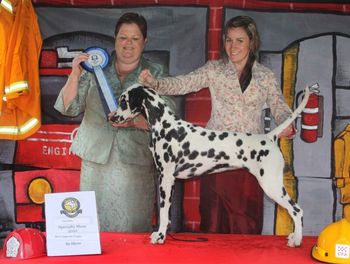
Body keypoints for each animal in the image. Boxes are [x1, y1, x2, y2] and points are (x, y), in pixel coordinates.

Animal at [110, 84, 310, 248]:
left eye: (123, 101)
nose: (112, 116)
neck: (165, 126)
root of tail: (270, 137)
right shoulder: (170, 180)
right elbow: (166, 212)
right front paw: (163, 233)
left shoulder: (165, 178)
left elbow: (163, 211)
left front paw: (159, 236)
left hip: (272, 186)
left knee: (297, 210)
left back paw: (297, 240)